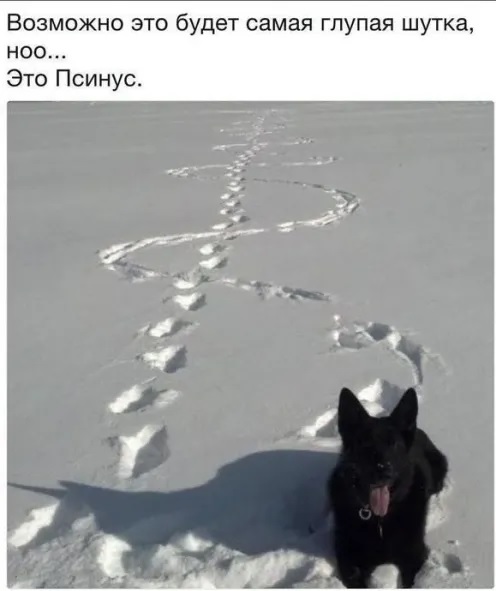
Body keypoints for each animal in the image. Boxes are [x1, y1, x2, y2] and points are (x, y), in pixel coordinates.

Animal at [327, 387, 448, 588]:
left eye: (394, 444)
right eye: (365, 443)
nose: (384, 470)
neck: (380, 521)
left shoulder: (414, 556)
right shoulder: (348, 559)